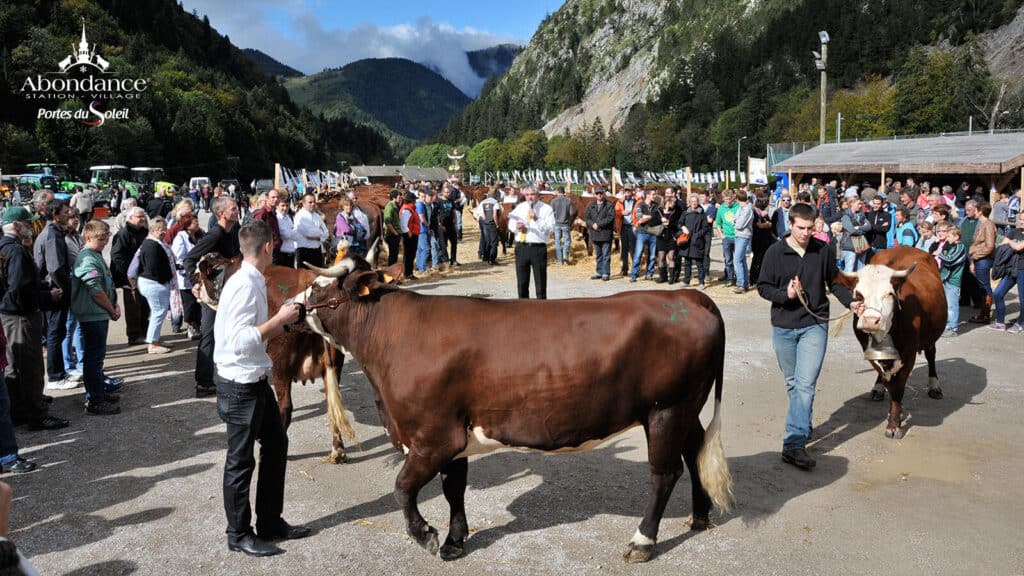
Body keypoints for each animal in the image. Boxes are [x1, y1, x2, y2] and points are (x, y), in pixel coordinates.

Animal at [292, 253, 733, 561]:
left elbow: (402, 488)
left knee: (665, 473)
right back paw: (699, 515)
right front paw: (454, 540)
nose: (293, 308)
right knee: (695, 454)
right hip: (685, 410)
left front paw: (426, 536)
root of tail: (687, 296)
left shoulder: (433, 437)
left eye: (319, 290)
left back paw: (643, 541)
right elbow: (454, 489)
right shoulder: (454, 437)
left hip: (666, 410)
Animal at [835, 243, 946, 436]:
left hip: (931, 337)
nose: (871, 320)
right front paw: (895, 414)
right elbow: (888, 380)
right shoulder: (869, 350)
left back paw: (934, 386)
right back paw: (878, 389)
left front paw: (894, 423)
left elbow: (898, 388)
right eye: (858, 295)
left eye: (889, 294)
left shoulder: (909, 355)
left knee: (931, 355)